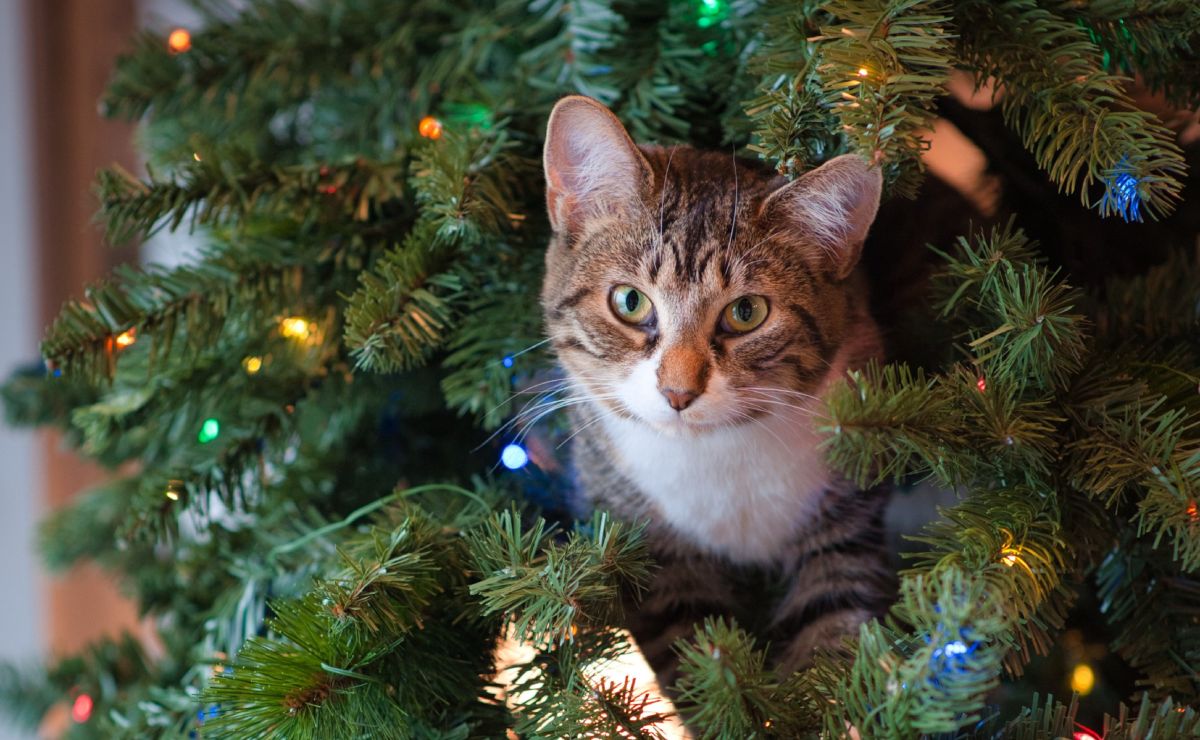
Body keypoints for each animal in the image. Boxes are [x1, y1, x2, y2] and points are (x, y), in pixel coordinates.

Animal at [540, 95, 897, 686]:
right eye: (630, 302)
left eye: (746, 312)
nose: (678, 391)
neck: (715, 454)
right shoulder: (655, 558)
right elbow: (702, 660)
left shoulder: (847, 518)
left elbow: (831, 631)